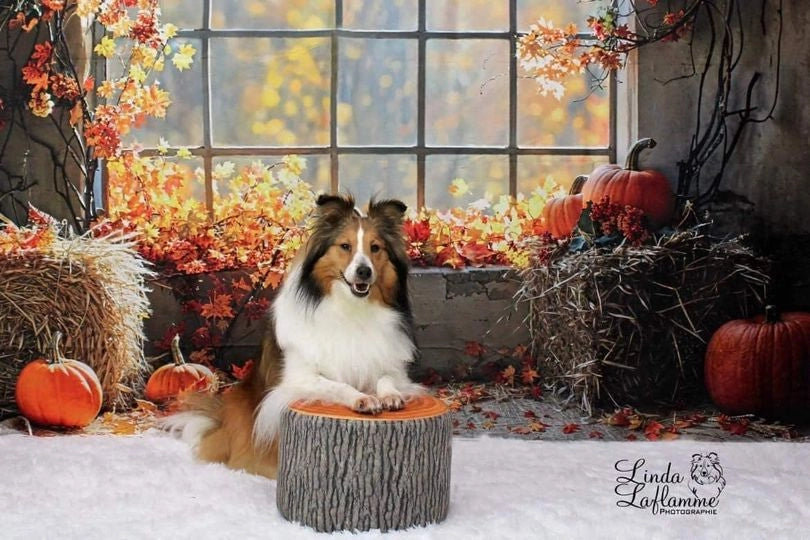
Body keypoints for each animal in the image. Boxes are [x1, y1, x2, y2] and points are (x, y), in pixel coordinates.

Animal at [162, 194, 420, 476]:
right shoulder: (298, 378)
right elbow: (338, 384)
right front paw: (362, 398)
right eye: (345, 246)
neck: (350, 308)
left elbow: (387, 378)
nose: (364, 271)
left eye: (375, 247)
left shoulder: (391, 367)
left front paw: (390, 396)